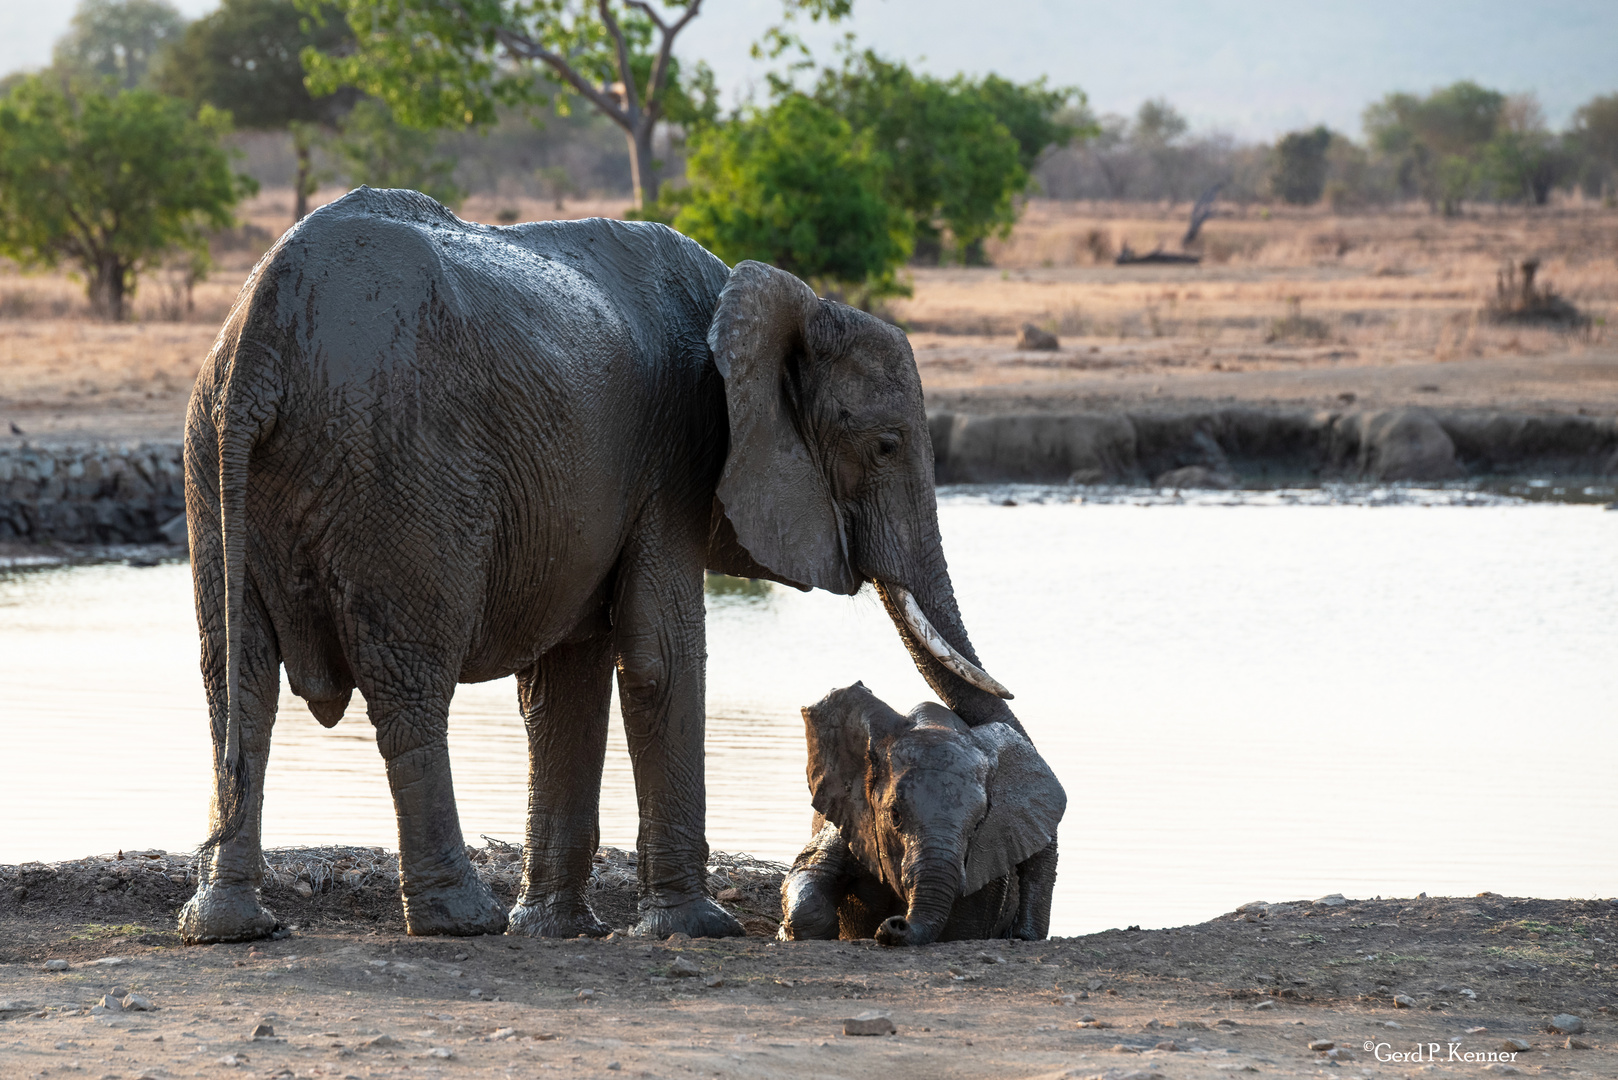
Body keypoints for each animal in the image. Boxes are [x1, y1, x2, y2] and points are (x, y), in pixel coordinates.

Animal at [183, 190, 1016, 939]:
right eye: (886, 445)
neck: (781, 304)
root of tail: (259, 340)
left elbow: (566, 683)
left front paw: (557, 929)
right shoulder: (677, 455)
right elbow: (659, 656)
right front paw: (697, 928)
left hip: (213, 461)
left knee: (237, 682)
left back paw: (229, 926)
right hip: (399, 473)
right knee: (409, 687)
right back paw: (460, 921)